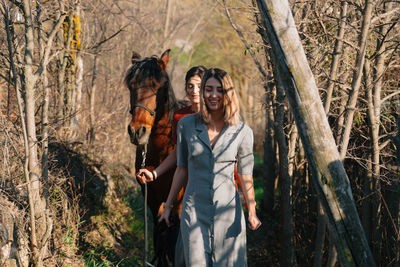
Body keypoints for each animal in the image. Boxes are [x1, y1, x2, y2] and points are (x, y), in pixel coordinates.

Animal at [124, 49, 184, 266]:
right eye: (131, 85)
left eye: (157, 87)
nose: (136, 131)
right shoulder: (151, 196)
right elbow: (159, 231)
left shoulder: (178, 199)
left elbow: (174, 234)